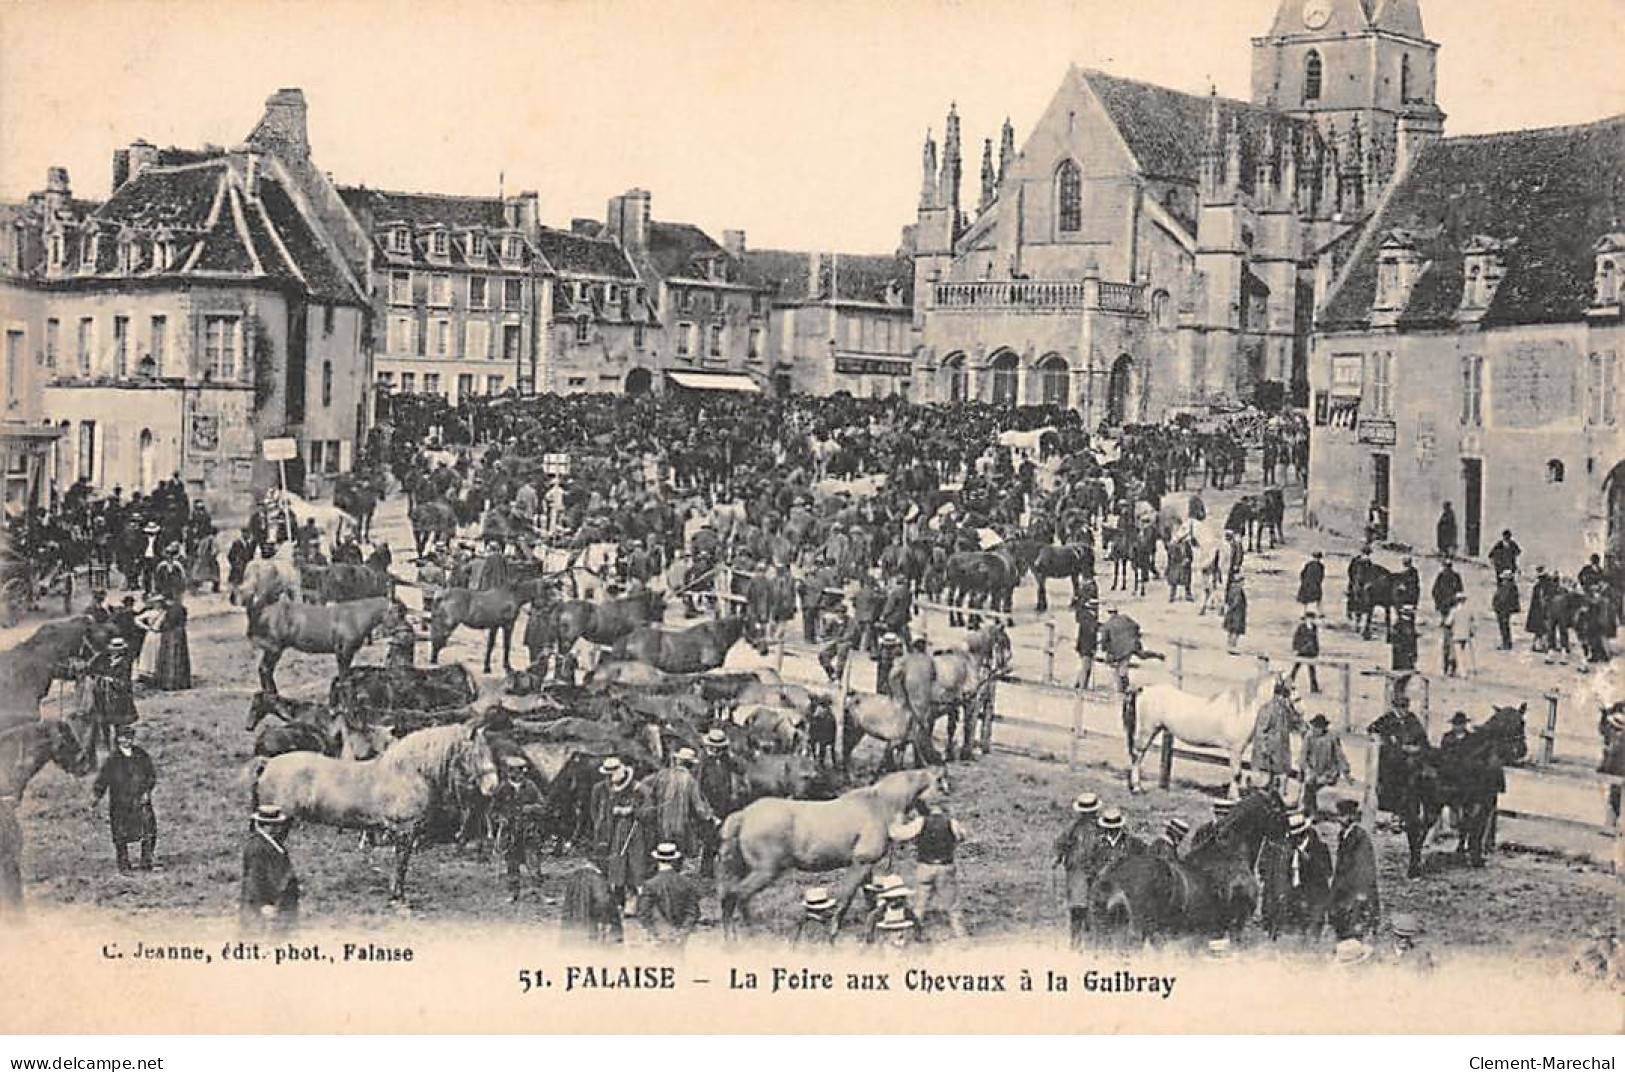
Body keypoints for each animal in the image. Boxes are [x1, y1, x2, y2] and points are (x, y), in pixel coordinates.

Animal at [247, 714, 497, 903]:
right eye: (477, 753)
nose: (493, 786)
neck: (407, 772)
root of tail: (268, 763)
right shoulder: (404, 830)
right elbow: (401, 863)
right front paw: (398, 897)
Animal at [253, 594, 409, 695]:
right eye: (400, 613)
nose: (407, 630)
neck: (356, 616)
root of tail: (264, 612)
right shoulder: (344, 651)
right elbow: (344, 674)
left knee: (264, 668)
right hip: (274, 649)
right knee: (265, 669)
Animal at [718, 763, 949, 935]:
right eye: (941, 786)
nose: (944, 813)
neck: (879, 804)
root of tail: (744, 815)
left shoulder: (866, 868)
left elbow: (870, 899)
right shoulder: (860, 864)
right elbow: (845, 899)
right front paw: (834, 929)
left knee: (729, 897)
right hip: (766, 872)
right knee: (739, 895)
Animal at [1124, 669, 1287, 795]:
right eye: (1289, 689)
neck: (1241, 708)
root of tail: (1143, 689)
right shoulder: (1236, 749)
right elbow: (1236, 773)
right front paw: (1233, 798)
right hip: (1147, 731)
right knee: (1137, 756)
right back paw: (1137, 788)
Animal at [1365, 704, 1527, 870]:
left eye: (1522, 722)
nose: (1521, 750)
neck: (1478, 758)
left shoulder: (1468, 803)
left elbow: (1466, 827)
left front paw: (1464, 854)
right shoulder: (1484, 802)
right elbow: (1476, 830)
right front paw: (1476, 859)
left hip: (1427, 805)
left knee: (1419, 829)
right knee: (1415, 829)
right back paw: (1414, 867)